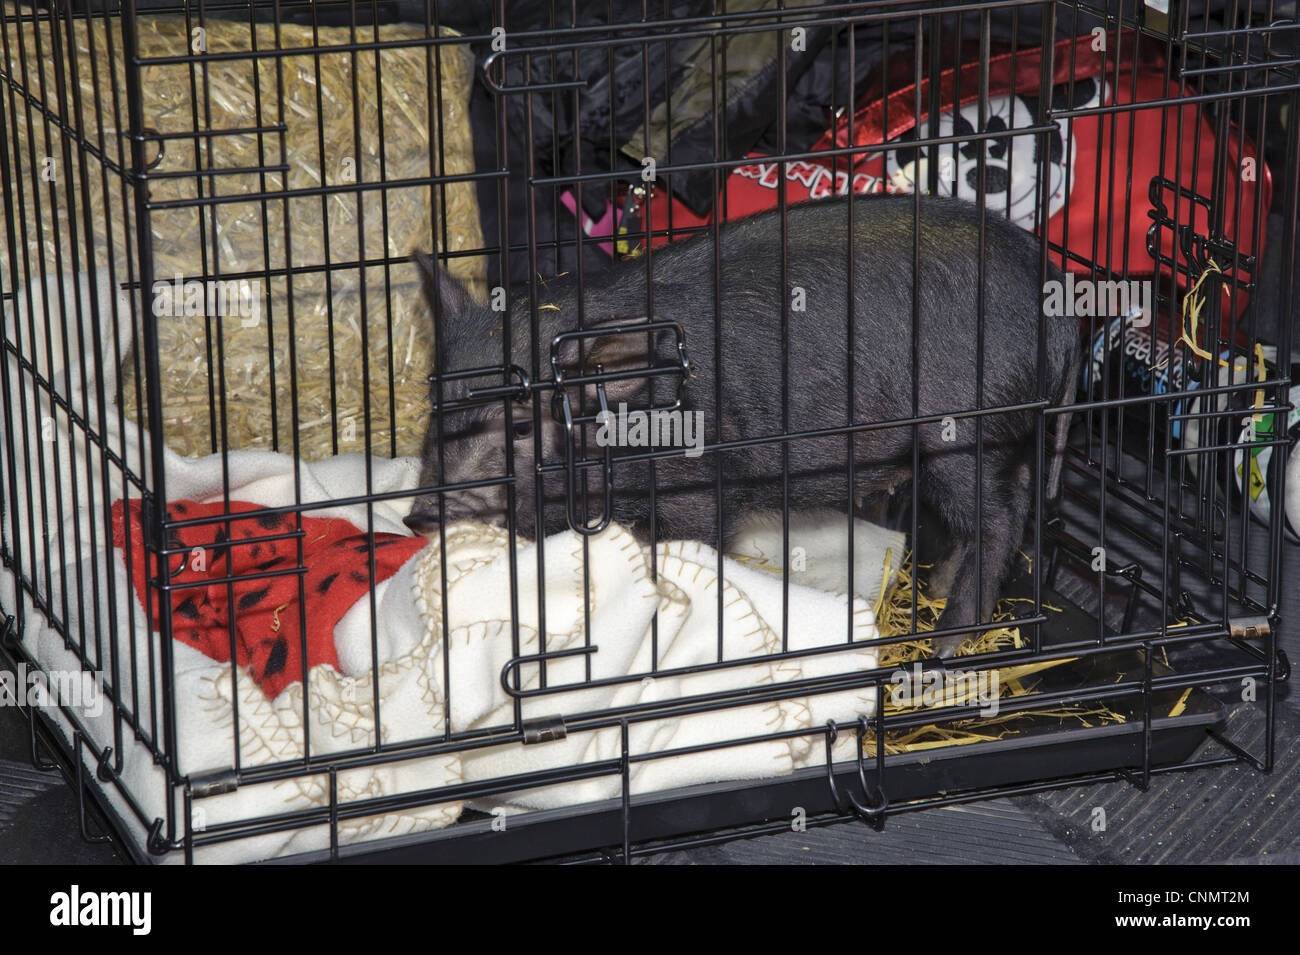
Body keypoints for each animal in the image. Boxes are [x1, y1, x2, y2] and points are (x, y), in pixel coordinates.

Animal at [405, 194, 1076, 657]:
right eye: (435, 414)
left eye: (520, 430)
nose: (418, 517)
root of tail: (1058, 304)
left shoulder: (701, 482)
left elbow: (691, 548)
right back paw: (933, 588)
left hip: (963, 427)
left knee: (998, 518)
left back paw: (945, 641)